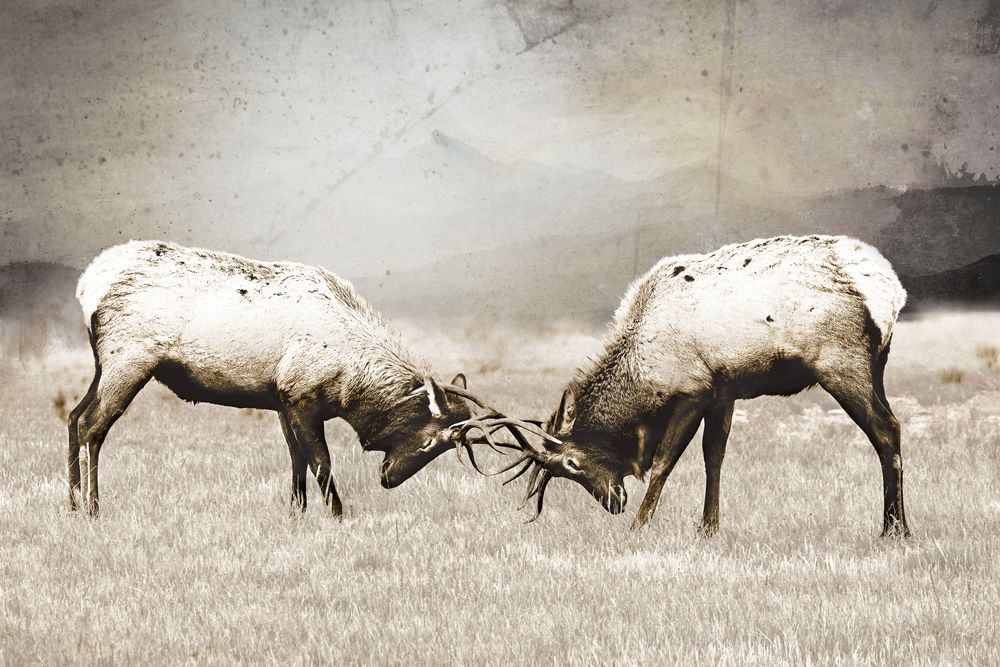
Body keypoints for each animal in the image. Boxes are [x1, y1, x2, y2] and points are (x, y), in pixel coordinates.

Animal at [67, 240, 506, 517]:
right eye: (431, 440)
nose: (389, 479)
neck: (350, 384)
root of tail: (86, 285)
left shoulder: (280, 401)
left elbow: (296, 461)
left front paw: (297, 513)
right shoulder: (301, 398)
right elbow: (321, 463)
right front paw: (338, 515)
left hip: (102, 365)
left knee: (72, 416)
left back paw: (70, 503)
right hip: (129, 360)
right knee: (92, 424)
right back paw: (92, 508)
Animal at [482, 235, 911, 538]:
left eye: (572, 465)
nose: (613, 502)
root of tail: (890, 289)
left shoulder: (693, 390)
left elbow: (663, 463)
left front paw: (639, 526)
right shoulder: (724, 392)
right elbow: (714, 457)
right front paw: (707, 528)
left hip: (841, 363)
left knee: (887, 430)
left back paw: (895, 529)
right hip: (877, 364)